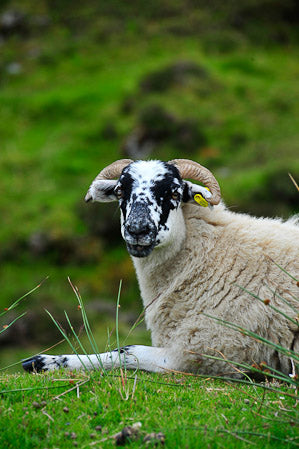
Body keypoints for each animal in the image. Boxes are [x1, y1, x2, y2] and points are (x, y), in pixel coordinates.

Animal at [23, 158, 299, 374]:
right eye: (120, 191)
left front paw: (45, 362)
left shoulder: (206, 350)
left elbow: (127, 351)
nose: (137, 230)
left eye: (176, 193)